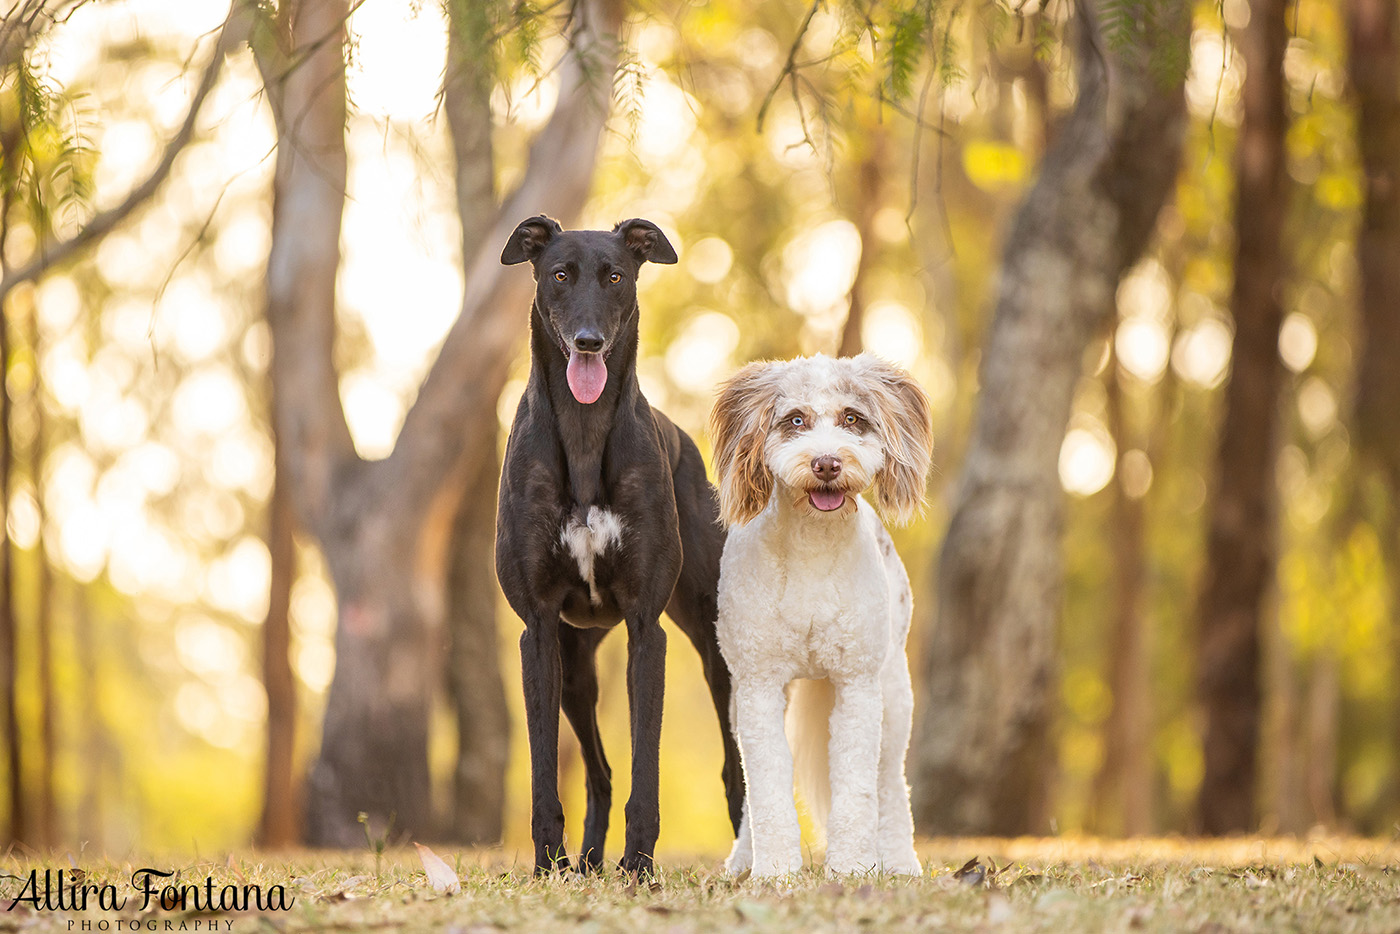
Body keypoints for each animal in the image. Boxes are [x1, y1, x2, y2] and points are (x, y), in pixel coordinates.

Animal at [711, 354, 929, 879]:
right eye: (795, 420)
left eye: (852, 417)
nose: (827, 463)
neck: (813, 543)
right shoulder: (758, 685)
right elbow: (767, 787)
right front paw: (774, 872)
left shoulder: (856, 685)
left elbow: (857, 791)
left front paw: (851, 869)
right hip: (741, 705)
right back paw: (744, 859)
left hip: (894, 696)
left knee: (890, 784)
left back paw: (899, 860)